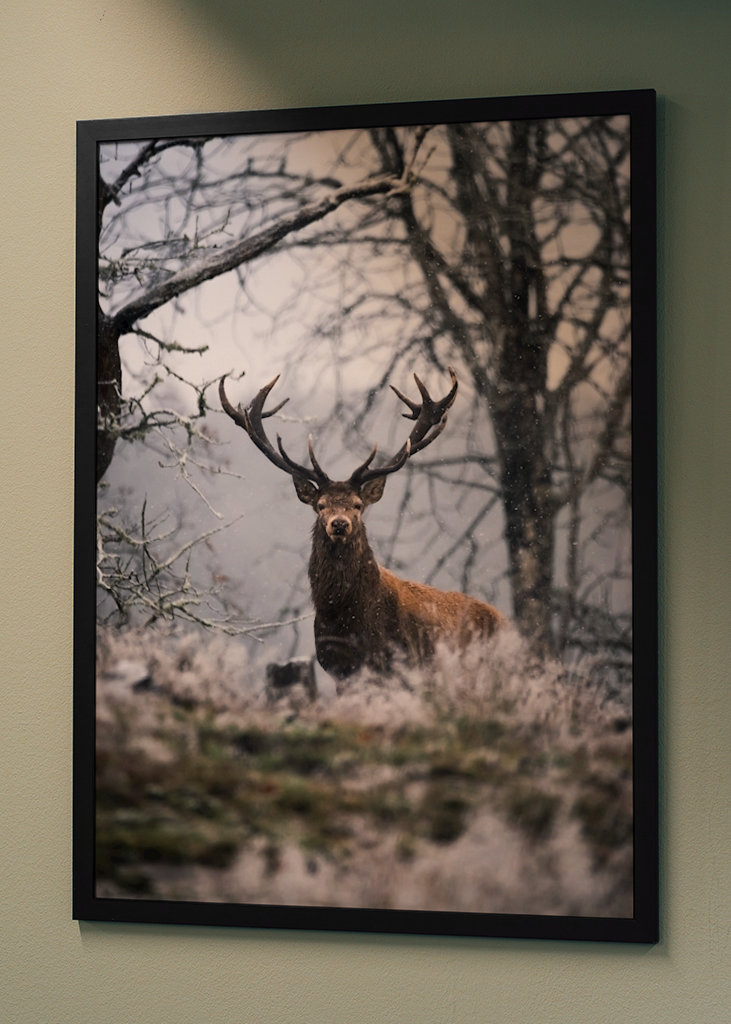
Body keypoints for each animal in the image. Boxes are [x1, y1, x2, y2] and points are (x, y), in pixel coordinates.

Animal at [219, 368, 506, 685]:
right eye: (321, 505)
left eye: (357, 505)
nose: (339, 524)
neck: (346, 619)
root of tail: (507, 624)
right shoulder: (338, 669)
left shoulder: (400, 662)